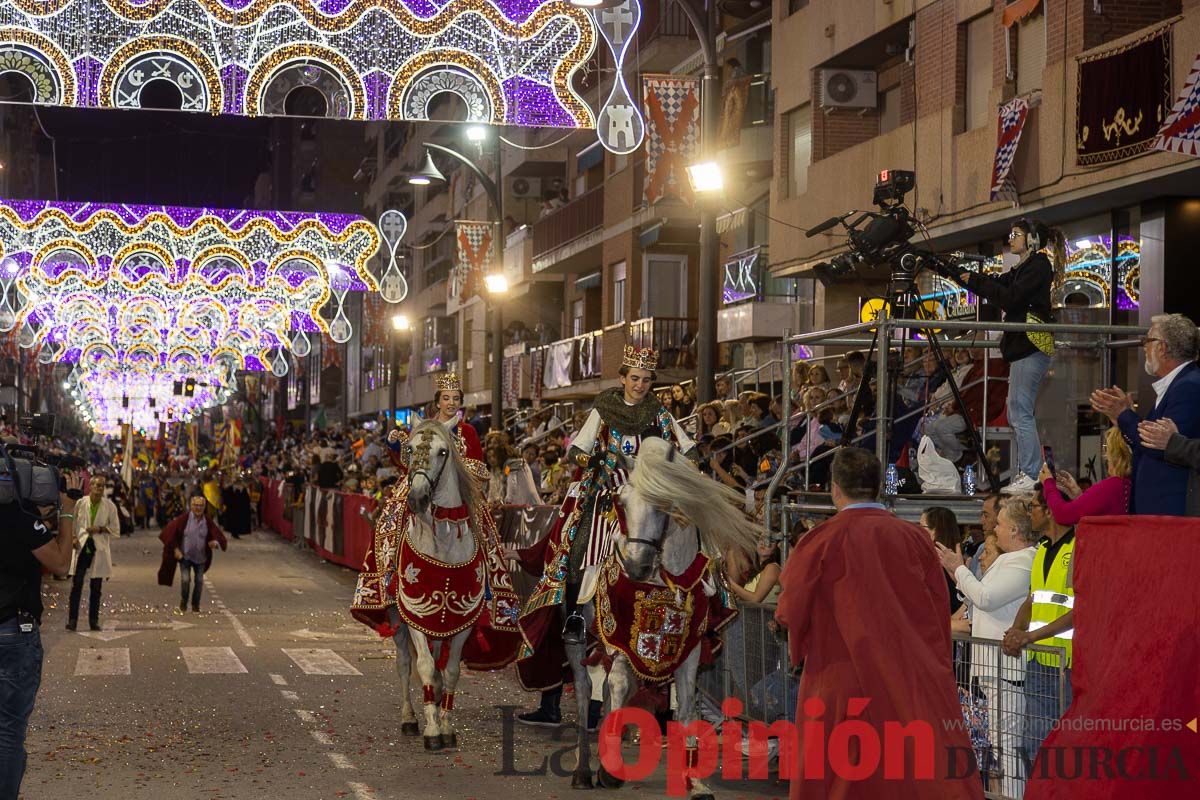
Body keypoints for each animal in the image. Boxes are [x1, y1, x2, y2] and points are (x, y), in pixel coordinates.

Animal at [381, 422, 480, 753]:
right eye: (409, 448)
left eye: (443, 452)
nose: (418, 499)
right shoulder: (415, 615)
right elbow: (423, 665)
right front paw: (432, 730)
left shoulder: (463, 621)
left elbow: (451, 671)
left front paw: (446, 726)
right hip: (397, 620)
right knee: (403, 664)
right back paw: (410, 718)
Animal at [564, 438, 758, 800]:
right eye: (621, 502)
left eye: (663, 503)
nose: (636, 564)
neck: (665, 579)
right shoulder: (618, 637)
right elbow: (618, 685)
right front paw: (609, 768)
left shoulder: (689, 648)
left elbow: (686, 705)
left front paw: (695, 781)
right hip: (578, 638)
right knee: (585, 691)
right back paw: (584, 769)